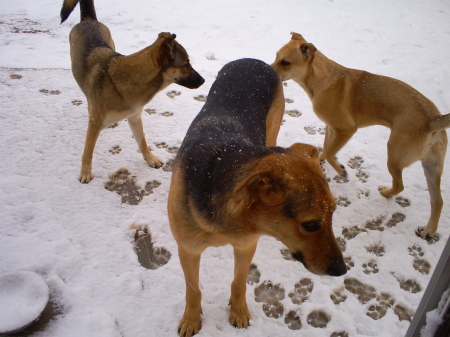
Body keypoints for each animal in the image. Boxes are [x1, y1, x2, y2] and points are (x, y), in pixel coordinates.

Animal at [60, 0, 205, 182]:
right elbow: (88, 151)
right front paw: (85, 172)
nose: (204, 80)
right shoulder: (94, 125)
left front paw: (150, 158)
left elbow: (142, 141)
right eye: (186, 64)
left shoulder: (135, 117)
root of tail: (88, 19)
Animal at [167, 58, 346, 336]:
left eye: (333, 213)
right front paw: (191, 318)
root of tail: (254, 60)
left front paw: (239, 311)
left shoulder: (246, 245)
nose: (342, 270)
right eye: (310, 224)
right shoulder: (188, 250)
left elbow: (239, 282)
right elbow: (193, 289)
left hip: (272, 126)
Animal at [270, 30, 450, 236]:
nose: (269, 69)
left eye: (285, 62)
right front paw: (320, 160)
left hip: (395, 154)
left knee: (400, 185)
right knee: (438, 201)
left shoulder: (346, 129)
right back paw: (429, 230)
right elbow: (326, 147)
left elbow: (331, 152)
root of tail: (432, 120)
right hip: (431, 167)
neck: (321, 78)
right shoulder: (331, 127)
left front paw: (340, 170)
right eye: (276, 56)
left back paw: (386, 193)